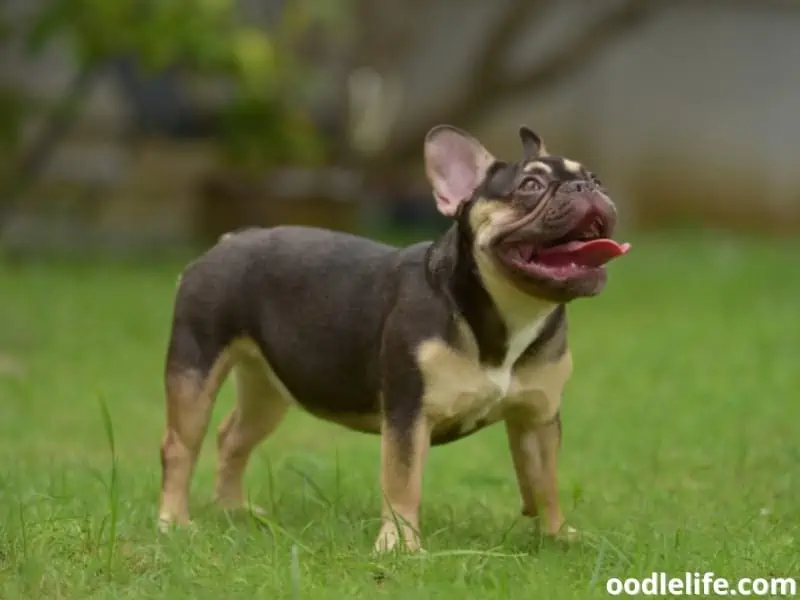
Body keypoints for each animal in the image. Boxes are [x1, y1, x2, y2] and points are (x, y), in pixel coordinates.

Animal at [158, 125, 632, 552]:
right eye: (530, 186)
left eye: (595, 178)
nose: (585, 186)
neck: (510, 312)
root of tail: (230, 240)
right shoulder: (409, 412)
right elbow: (403, 481)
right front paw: (401, 546)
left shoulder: (538, 419)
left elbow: (544, 480)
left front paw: (558, 536)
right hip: (196, 371)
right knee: (180, 447)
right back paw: (175, 523)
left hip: (267, 390)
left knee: (232, 437)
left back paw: (231, 510)